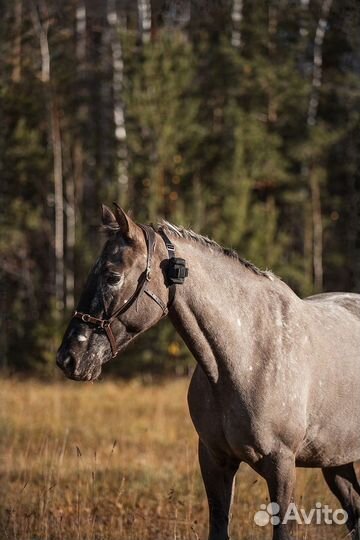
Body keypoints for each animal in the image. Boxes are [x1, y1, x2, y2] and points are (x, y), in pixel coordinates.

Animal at [57, 204, 360, 540]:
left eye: (112, 276)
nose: (68, 358)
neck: (247, 355)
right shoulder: (215, 460)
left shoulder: (281, 464)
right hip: (337, 461)